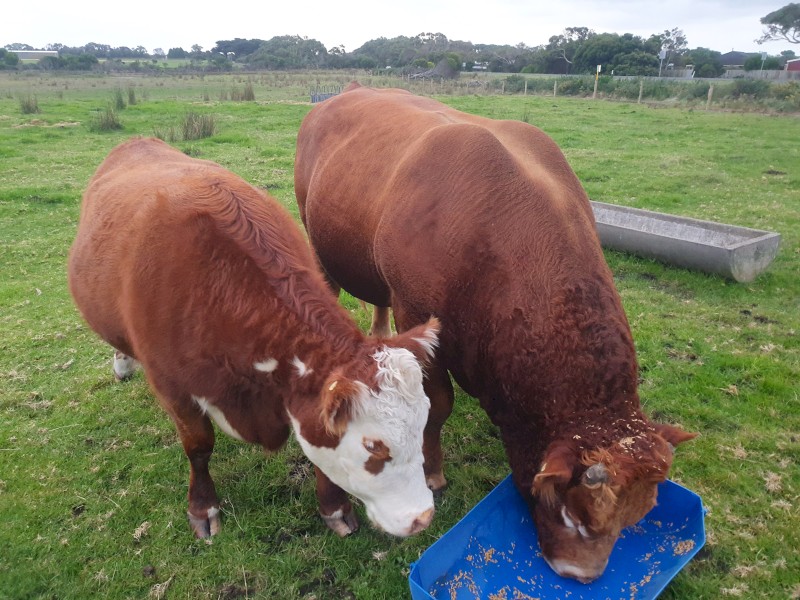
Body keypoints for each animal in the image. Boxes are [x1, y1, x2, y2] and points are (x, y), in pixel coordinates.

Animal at [68, 137, 441, 539]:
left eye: (423, 421)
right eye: (374, 447)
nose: (423, 517)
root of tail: (138, 141)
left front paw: (334, 505)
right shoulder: (174, 389)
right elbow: (198, 446)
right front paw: (202, 506)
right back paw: (122, 363)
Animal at [294, 84, 696, 583]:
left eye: (636, 518)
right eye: (575, 516)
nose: (580, 576)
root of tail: (345, 92)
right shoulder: (416, 312)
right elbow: (437, 403)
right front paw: (433, 471)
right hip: (317, 241)